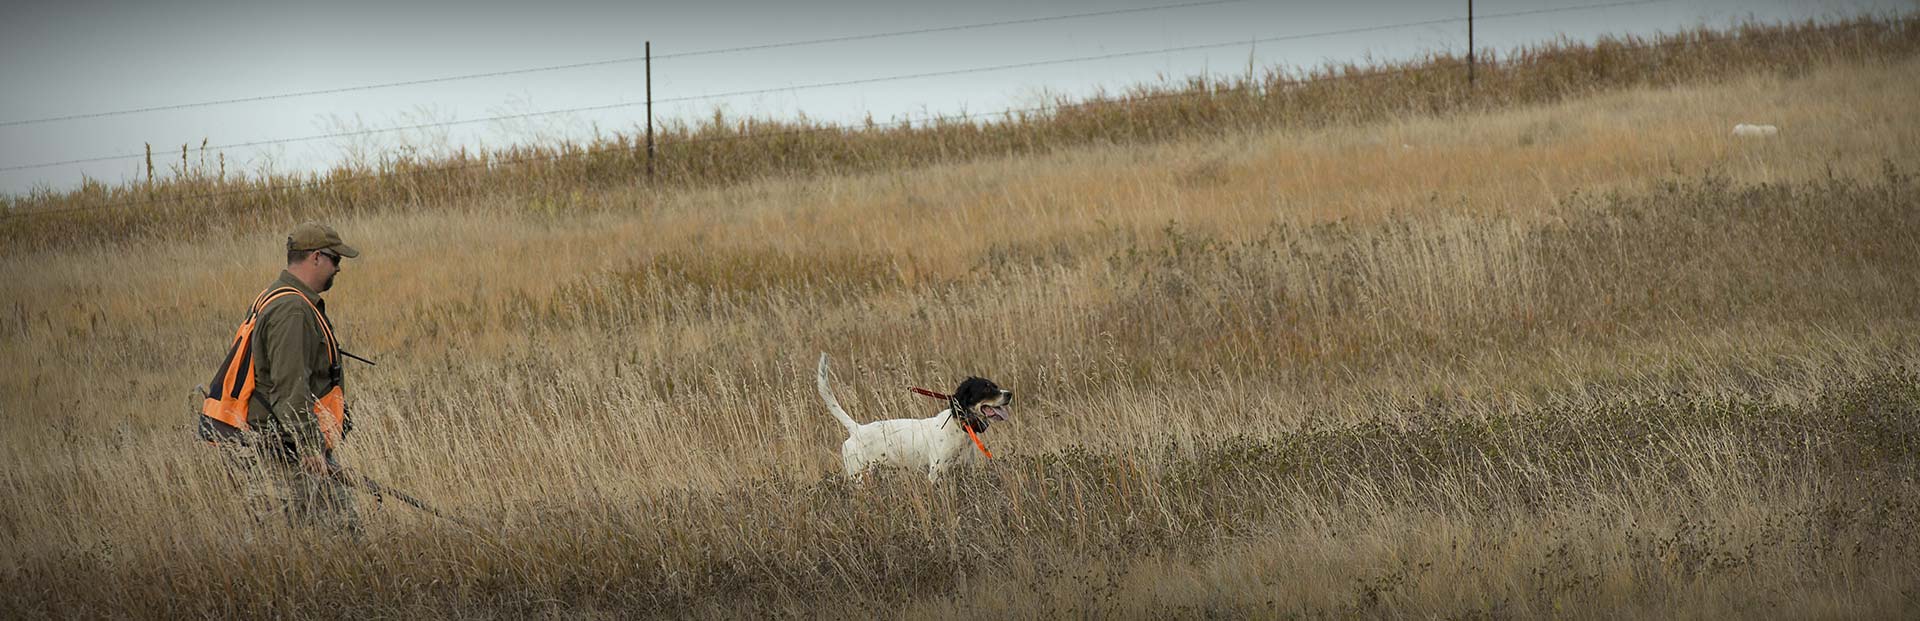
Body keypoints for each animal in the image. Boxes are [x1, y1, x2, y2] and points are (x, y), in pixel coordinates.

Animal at [817, 355, 1013, 482]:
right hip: (859, 476)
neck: (959, 427)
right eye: (986, 388)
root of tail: (857, 428)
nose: (1009, 394)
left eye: (995, 386)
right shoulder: (936, 473)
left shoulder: (966, 470)